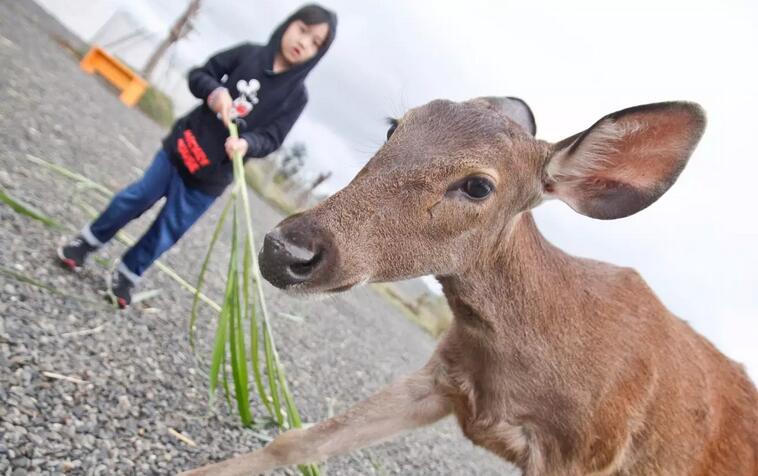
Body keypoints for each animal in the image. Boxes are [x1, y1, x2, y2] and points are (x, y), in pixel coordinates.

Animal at [181, 97, 756, 476]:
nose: (286, 251)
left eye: (478, 185)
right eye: (394, 127)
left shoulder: (585, 455)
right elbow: (298, 442)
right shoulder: (442, 376)